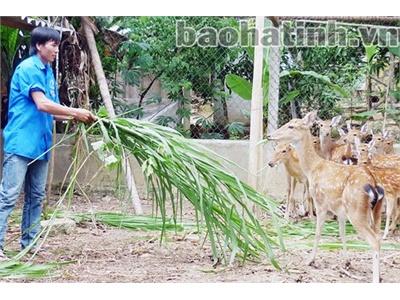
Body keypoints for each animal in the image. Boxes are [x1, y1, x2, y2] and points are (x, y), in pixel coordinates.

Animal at [268, 112, 386, 284]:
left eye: (291, 126)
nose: (270, 135)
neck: (313, 168)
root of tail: (374, 185)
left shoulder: (321, 202)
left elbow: (318, 232)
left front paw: (310, 260)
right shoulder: (341, 211)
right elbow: (342, 233)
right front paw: (346, 261)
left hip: (356, 210)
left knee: (374, 241)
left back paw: (375, 279)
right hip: (374, 210)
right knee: (379, 237)